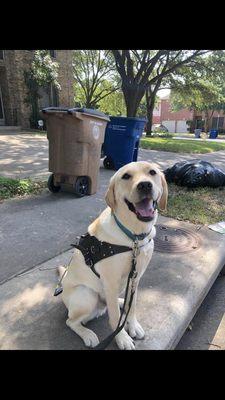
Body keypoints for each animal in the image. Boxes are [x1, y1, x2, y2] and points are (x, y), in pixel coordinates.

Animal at [59, 161, 168, 348]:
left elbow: (132, 306)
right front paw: (122, 338)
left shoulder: (135, 279)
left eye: (152, 172)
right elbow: (115, 318)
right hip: (86, 295)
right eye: (126, 176)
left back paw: (121, 302)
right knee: (71, 321)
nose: (145, 185)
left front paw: (133, 325)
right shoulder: (110, 282)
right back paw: (87, 334)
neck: (134, 237)